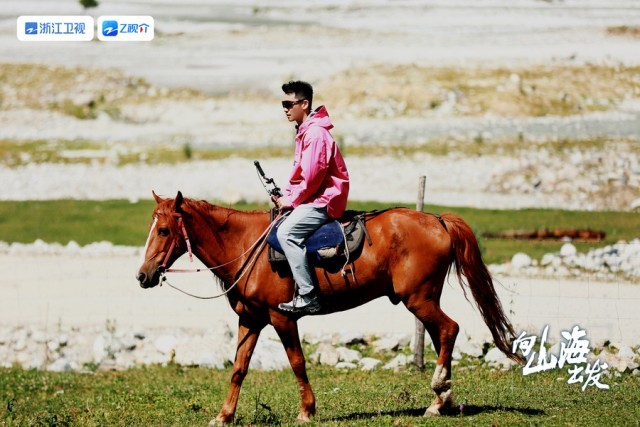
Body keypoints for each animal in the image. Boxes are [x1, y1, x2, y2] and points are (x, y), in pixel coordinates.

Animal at [135, 193, 520, 424]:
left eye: (164, 230)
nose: (143, 275)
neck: (246, 247)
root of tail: (437, 220)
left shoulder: (282, 317)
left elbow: (297, 363)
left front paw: (307, 411)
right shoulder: (251, 319)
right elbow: (238, 369)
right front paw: (225, 415)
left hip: (420, 299)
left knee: (449, 330)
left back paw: (439, 397)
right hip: (423, 301)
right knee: (443, 336)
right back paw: (443, 400)